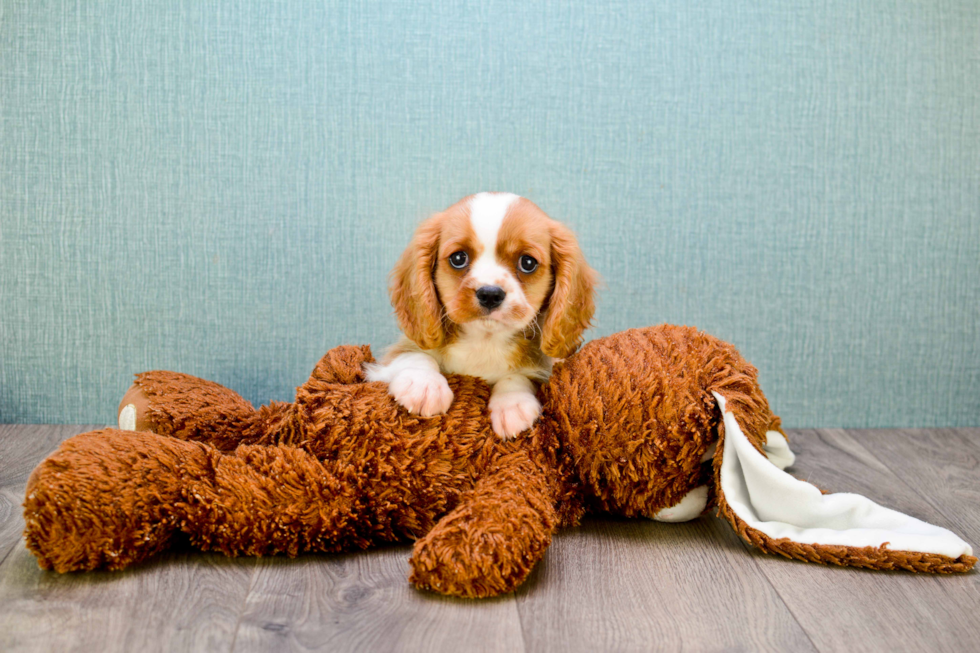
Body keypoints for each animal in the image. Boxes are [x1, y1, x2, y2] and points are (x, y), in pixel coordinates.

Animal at [368, 194, 596, 438]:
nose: (490, 294)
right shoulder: (390, 358)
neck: (484, 340)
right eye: (458, 258)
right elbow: (416, 356)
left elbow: (519, 377)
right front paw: (424, 385)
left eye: (528, 263)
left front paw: (512, 404)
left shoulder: (544, 370)